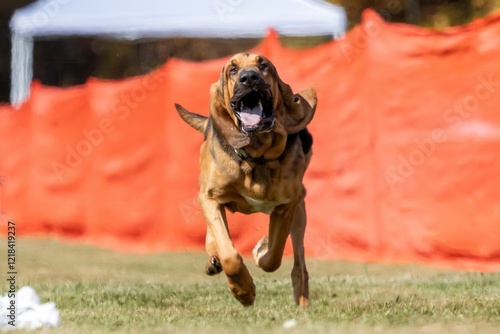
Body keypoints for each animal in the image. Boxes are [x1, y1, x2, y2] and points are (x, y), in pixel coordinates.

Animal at [176, 51, 316, 306]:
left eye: (264, 65)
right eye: (232, 70)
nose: (249, 77)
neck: (257, 156)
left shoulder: (287, 204)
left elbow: (273, 257)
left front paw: (260, 251)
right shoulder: (209, 197)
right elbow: (229, 254)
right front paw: (243, 291)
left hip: (300, 212)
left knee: (299, 265)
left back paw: (303, 302)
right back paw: (214, 259)